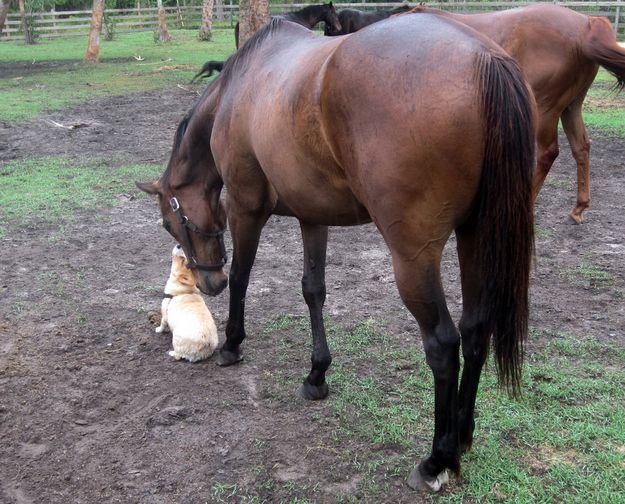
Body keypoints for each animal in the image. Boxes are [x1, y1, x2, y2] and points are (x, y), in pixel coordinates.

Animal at [139, 13, 532, 490]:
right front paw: (316, 374)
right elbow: (314, 290)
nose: (207, 281)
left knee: (443, 343)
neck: (241, 88)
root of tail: (483, 58)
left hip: (414, 256)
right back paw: (463, 433)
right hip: (474, 237)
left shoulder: (245, 209)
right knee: (475, 330)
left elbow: (244, 277)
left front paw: (232, 344)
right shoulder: (313, 216)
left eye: (168, 221)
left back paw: (437, 460)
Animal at [408, 2, 624, 221]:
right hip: (571, 107)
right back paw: (579, 207)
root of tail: (586, 25)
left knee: (548, 153)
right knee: (581, 147)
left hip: (545, 109)